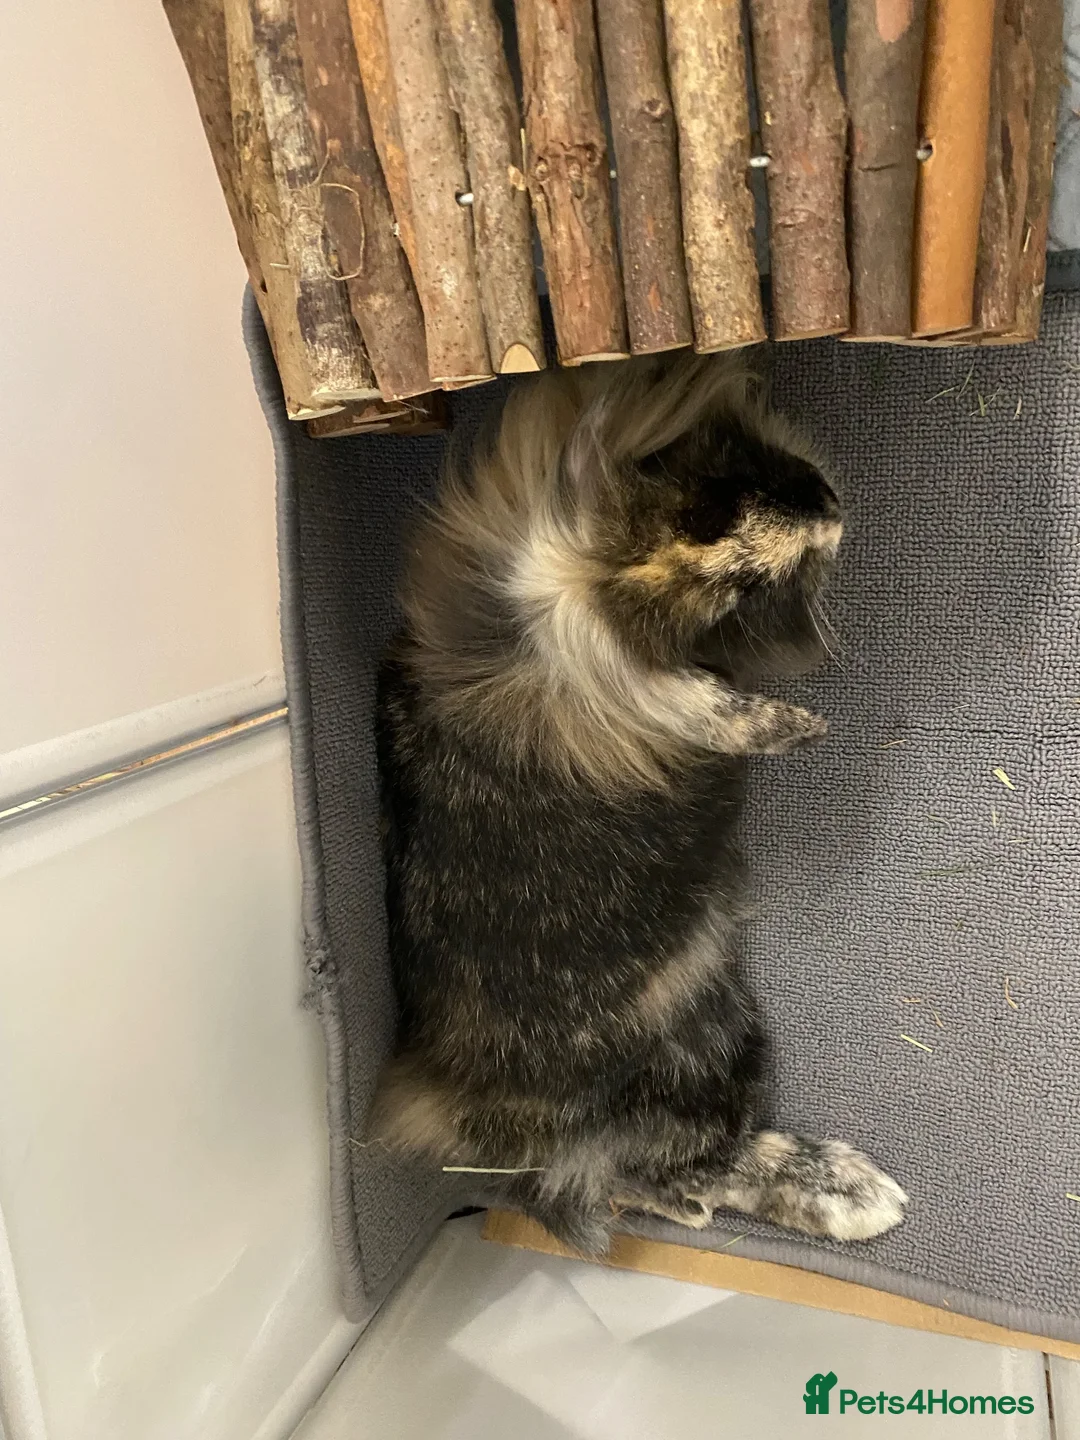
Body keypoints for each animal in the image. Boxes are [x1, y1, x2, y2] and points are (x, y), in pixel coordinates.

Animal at [370, 353, 907, 1256]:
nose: (832, 508)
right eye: (742, 593)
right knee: (679, 1164)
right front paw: (799, 727)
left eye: (722, 474)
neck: (576, 579)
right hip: (710, 1051)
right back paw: (855, 1194)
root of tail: (456, 1112)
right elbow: (715, 709)